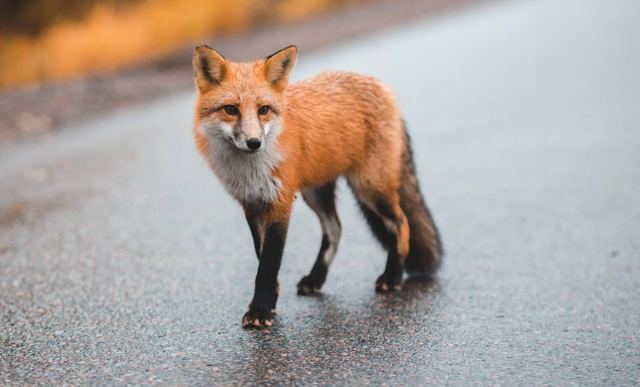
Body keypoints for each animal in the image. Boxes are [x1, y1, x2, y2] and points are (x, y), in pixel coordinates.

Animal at [191, 44, 440, 330]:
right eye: (231, 109)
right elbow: (262, 257)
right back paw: (316, 278)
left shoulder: (281, 201)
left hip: (369, 188)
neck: (250, 170)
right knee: (335, 229)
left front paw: (261, 309)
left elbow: (268, 263)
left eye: (263, 109)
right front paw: (270, 302)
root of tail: (381, 85)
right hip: (316, 193)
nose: (254, 143)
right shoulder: (251, 204)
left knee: (400, 223)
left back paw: (393, 276)